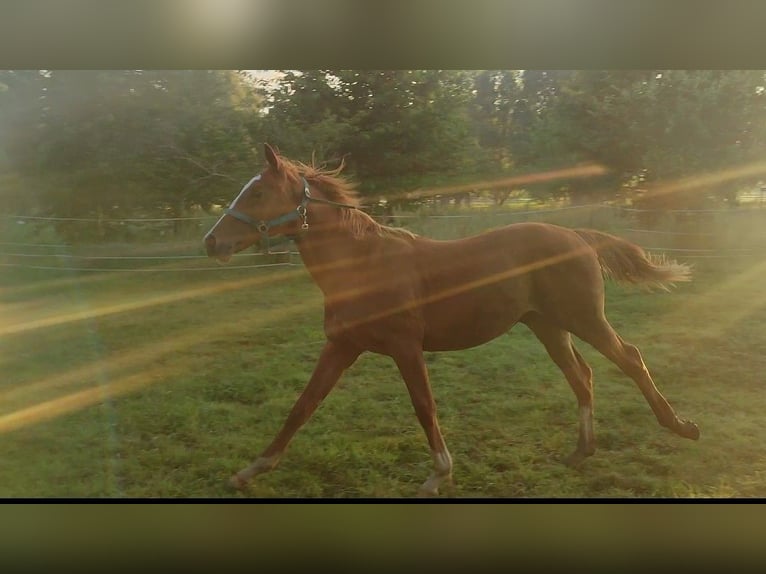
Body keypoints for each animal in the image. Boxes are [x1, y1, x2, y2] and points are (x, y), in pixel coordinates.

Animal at [204, 145, 704, 500]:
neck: (365, 264)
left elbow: (424, 406)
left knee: (630, 359)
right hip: (547, 326)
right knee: (582, 376)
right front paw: (249, 471)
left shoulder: (406, 346)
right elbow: (302, 406)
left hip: (584, 319)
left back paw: (681, 427)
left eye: (258, 193)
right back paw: (582, 451)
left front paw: (438, 475)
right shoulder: (342, 346)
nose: (212, 243)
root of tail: (577, 236)